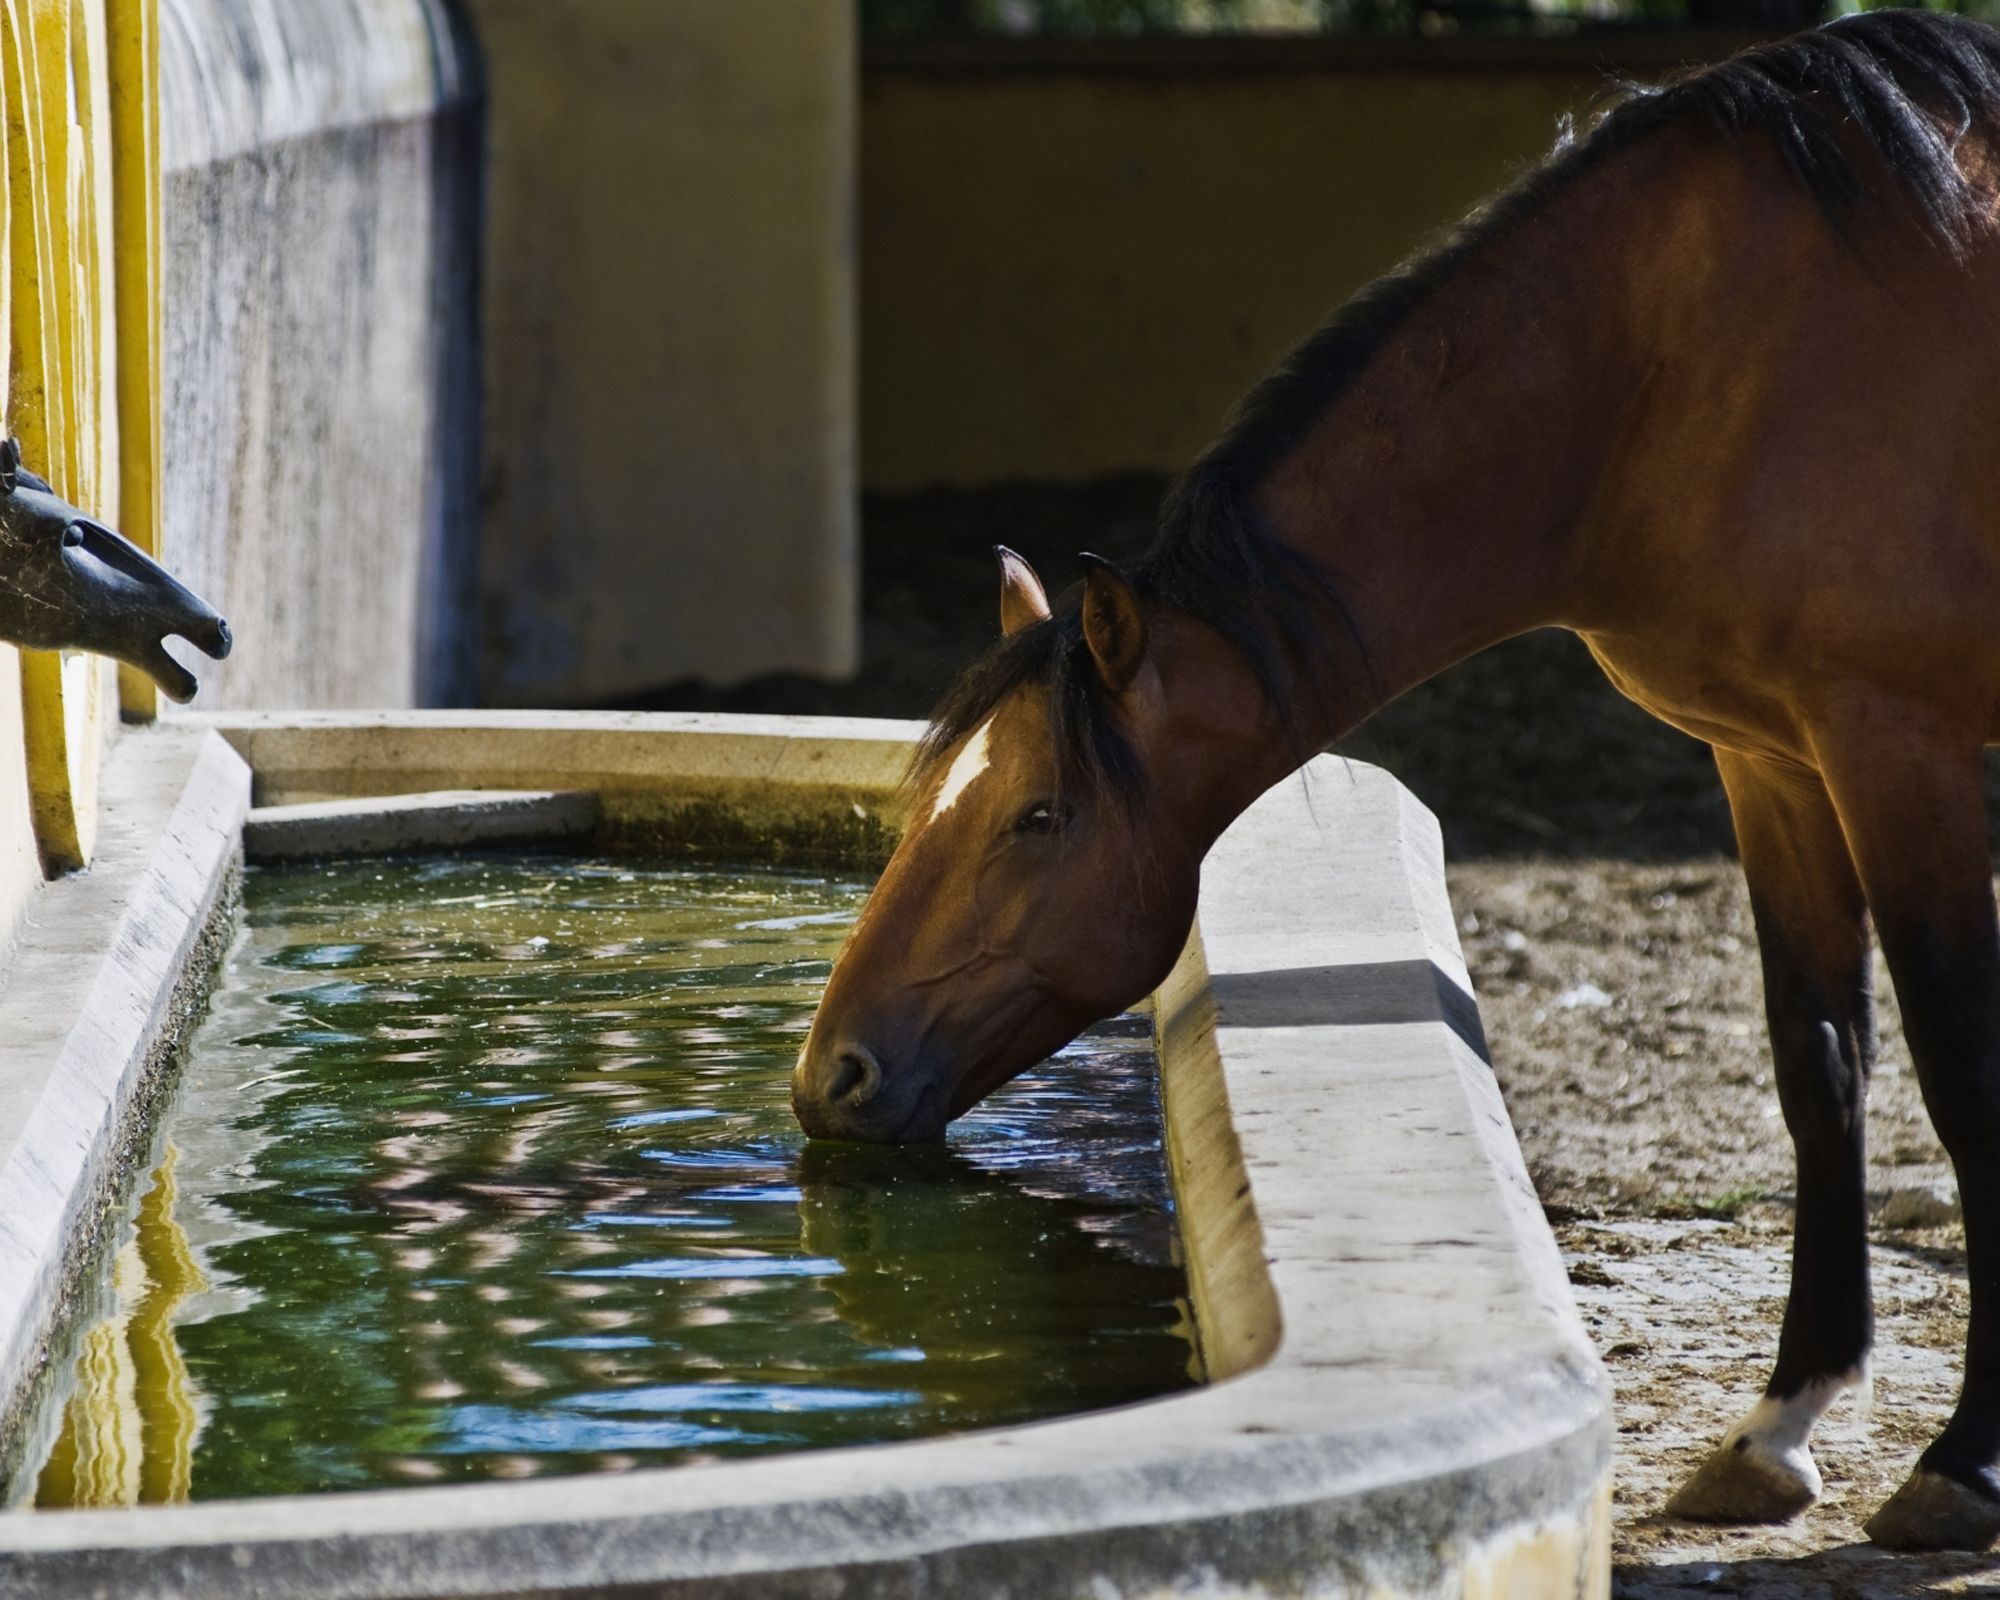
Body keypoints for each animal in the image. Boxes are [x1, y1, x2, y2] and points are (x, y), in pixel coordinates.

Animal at [804, 12, 2000, 1560]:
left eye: (1040, 816)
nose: (832, 1074)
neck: (1677, 372)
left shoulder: (1899, 753)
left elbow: (1960, 1078)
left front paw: (1963, 1462)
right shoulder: (1772, 760)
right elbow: (1821, 1067)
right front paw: (1778, 1425)